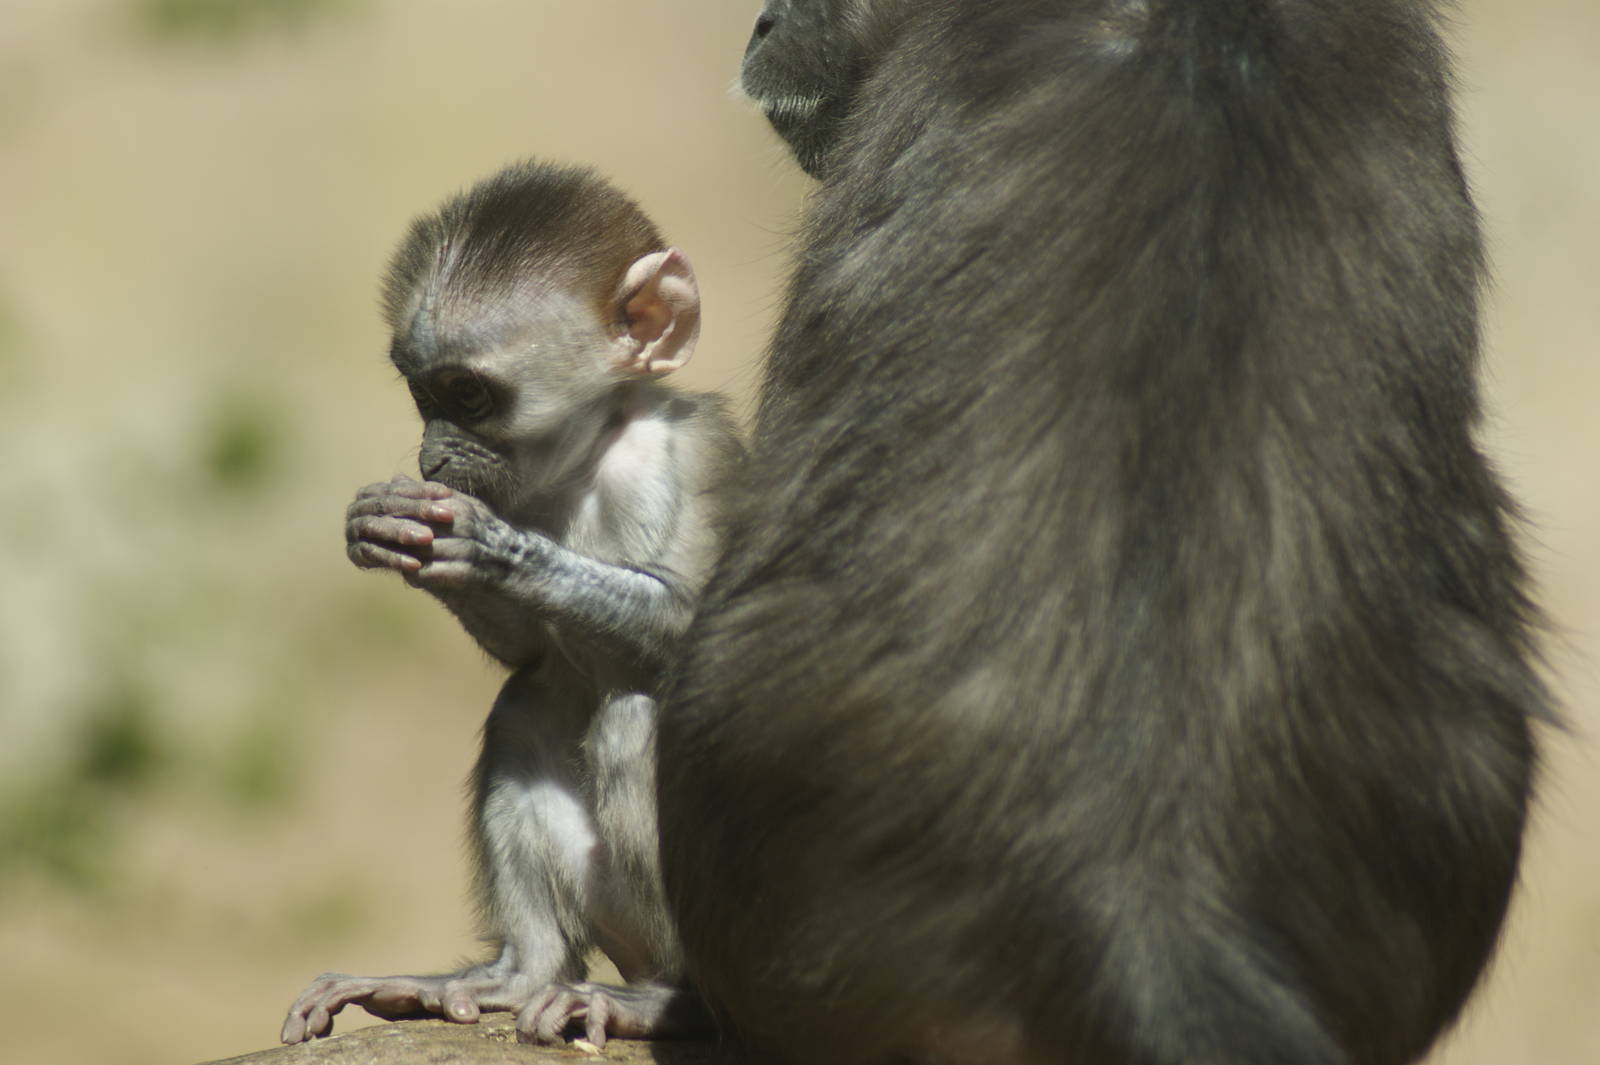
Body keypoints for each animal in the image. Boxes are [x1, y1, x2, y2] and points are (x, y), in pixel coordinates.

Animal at [279, 160, 737, 1049]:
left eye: (468, 395)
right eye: (423, 394)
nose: (432, 457)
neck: (593, 456)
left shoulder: (678, 455)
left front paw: (495, 548)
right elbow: (527, 658)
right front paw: (394, 530)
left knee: (637, 712)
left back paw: (673, 999)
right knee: (529, 704)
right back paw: (515, 975)